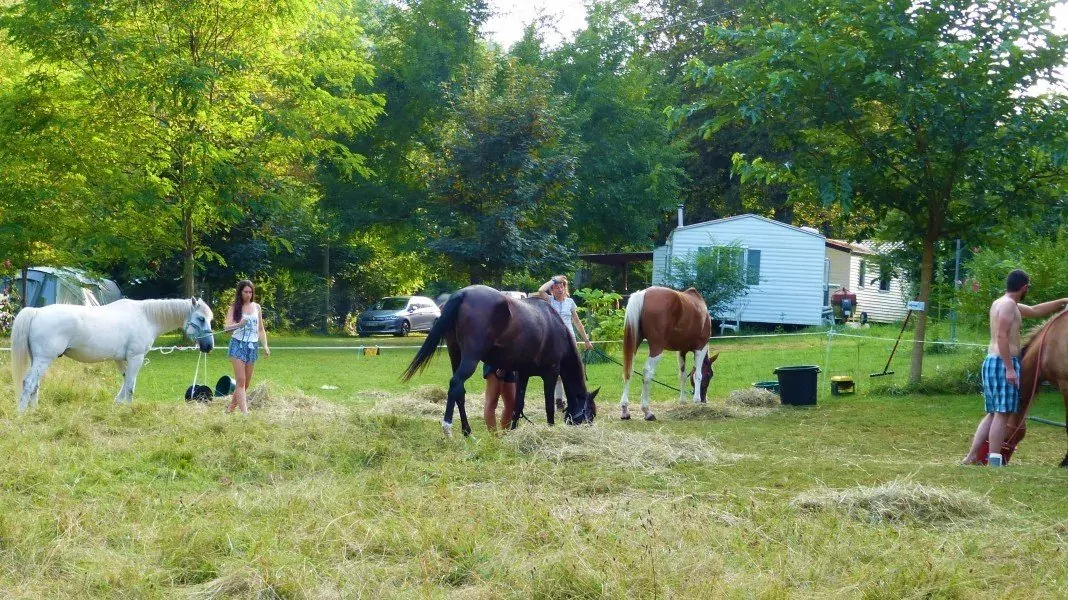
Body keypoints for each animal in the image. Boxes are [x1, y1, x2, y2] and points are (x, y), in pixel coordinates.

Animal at [10, 296, 213, 407]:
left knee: (35, 385)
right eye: (201, 318)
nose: (209, 346)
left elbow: (125, 381)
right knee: (28, 383)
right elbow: (130, 385)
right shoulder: (136, 358)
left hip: (37, 360)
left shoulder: (121, 359)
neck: (146, 317)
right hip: (43, 359)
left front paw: (117, 404)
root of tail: (36, 312)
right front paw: (128, 409)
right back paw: (22, 414)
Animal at [401, 283, 598, 433]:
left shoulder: (523, 373)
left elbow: (518, 405)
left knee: (460, 392)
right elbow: (548, 406)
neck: (555, 327)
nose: (588, 427)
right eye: (591, 413)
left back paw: (467, 432)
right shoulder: (551, 373)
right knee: (456, 384)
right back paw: (448, 427)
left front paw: (513, 431)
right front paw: (549, 430)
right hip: (470, 359)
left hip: (455, 355)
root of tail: (462, 294)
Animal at [619, 286, 717, 420]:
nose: (704, 400)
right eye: (710, 375)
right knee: (647, 372)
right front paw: (696, 400)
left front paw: (683, 401)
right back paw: (647, 411)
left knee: (629, 370)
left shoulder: (681, 351)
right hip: (657, 348)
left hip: (634, 343)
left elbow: (682, 375)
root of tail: (643, 294)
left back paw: (625, 410)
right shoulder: (700, 348)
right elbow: (698, 375)